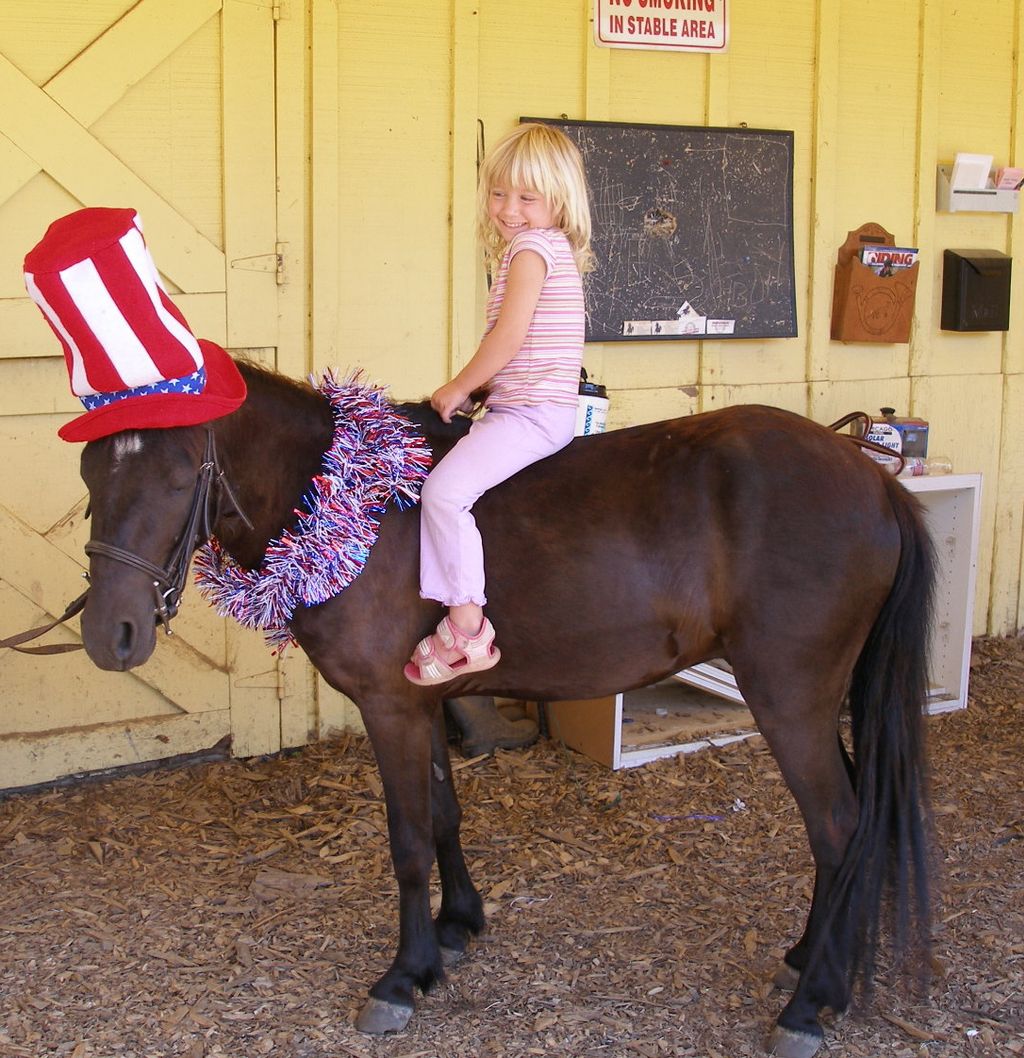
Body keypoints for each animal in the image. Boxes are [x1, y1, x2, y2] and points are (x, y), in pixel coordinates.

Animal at [74, 359, 935, 1053]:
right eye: (89, 476)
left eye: (179, 476)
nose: (110, 633)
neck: (351, 503)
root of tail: (876, 478)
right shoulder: (419, 703)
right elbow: (443, 815)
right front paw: (454, 930)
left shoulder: (387, 708)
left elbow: (408, 841)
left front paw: (404, 976)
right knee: (854, 819)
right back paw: (816, 965)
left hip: (789, 697)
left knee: (837, 826)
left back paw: (810, 1004)